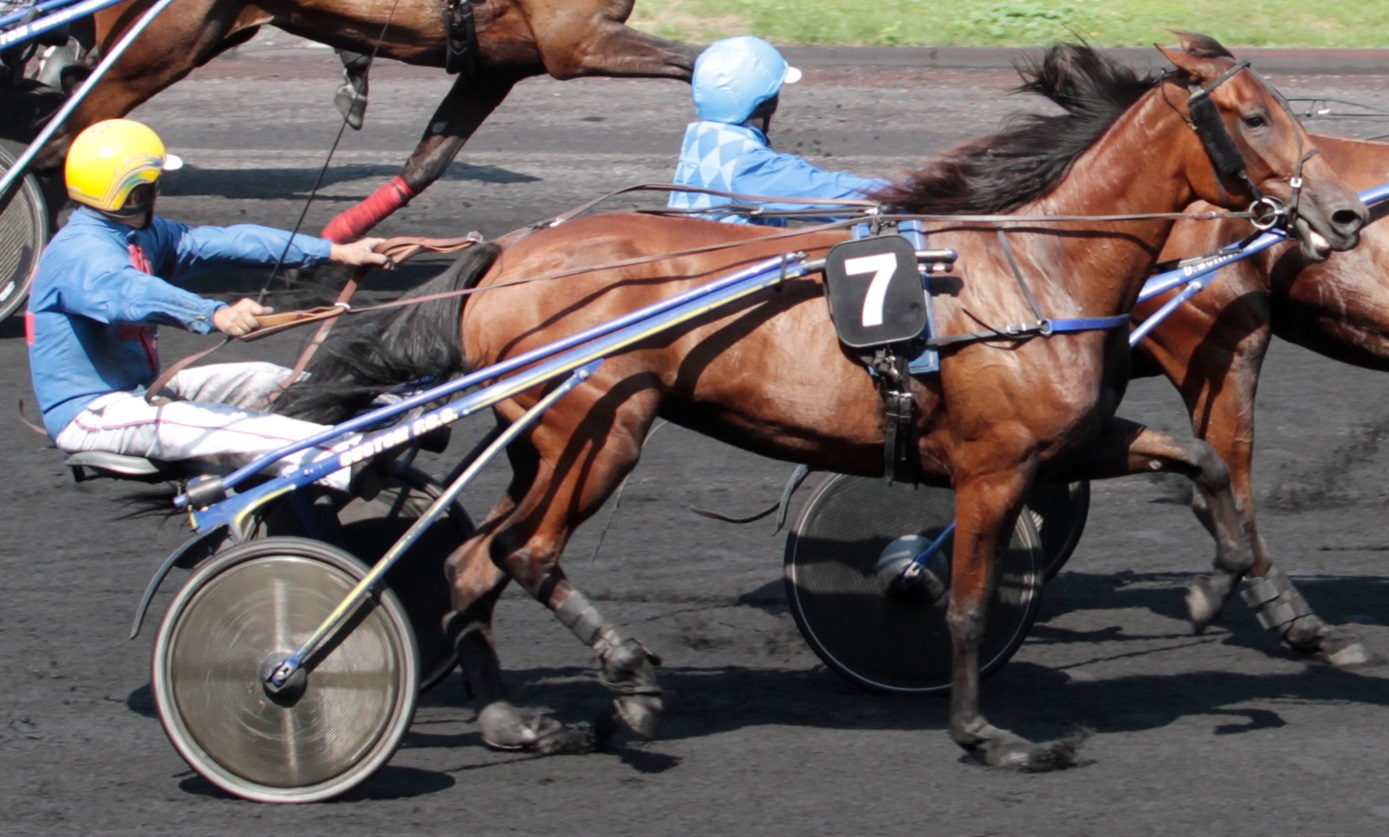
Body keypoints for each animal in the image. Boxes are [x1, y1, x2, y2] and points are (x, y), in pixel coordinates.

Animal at [35, 0, 694, 242]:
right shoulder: (577, 42)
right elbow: (697, 61)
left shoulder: (498, 64)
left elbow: (426, 163)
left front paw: (339, 240)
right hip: (153, 51)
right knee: (64, 139)